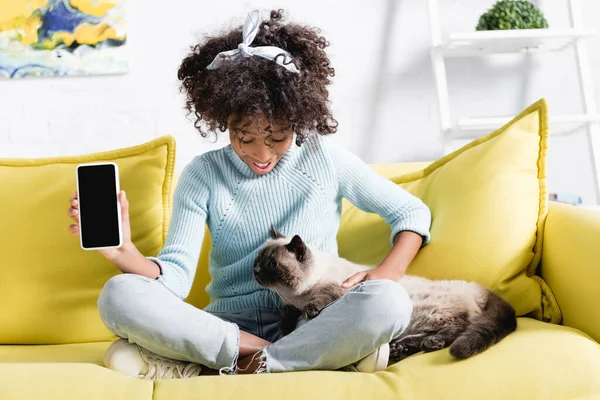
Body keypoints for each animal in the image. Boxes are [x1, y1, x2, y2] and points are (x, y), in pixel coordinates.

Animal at [252, 228, 516, 362]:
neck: (298, 295)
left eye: (272, 265)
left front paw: (311, 311)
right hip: (415, 322)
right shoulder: (290, 305)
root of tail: (475, 287)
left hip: (428, 312)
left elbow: (324, 296)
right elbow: (285, 316)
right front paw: (285, 325)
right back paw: (400, 349)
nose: (254, 271)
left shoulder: (339, 288)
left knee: (457, 328)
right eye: (257, 261)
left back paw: (430, 344)